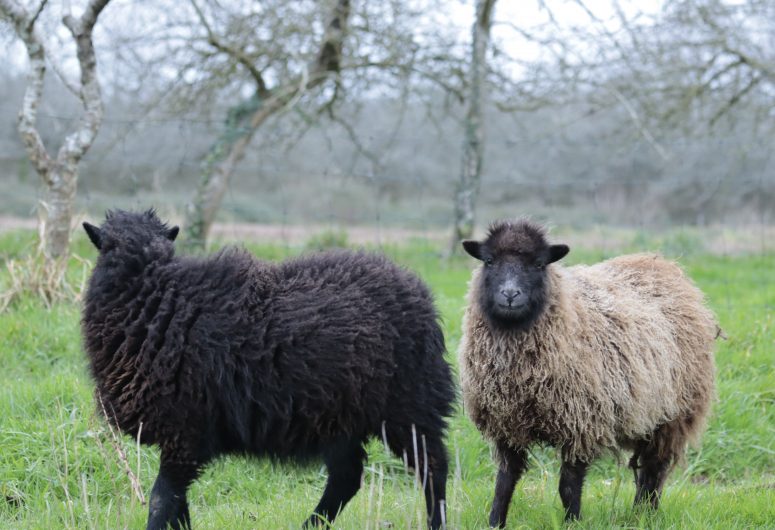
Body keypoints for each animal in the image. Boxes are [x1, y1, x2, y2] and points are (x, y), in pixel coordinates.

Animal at [80, 209, 454, 528]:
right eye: (108, 245)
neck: (155, 295)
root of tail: (419, 292)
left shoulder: (187, 428)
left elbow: (162, 499)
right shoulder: (181, 435)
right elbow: (178, 505)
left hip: (410, 405)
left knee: (433, 467)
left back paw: (435, 523)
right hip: (341, 416)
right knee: (346, 478)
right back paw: (310, 526)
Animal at [458, 219, 720, 524]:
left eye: (538, 263)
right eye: (489, 261)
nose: (510, 294)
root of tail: (664, 266)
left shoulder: (582, 423)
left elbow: (568, 486)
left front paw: (572, 522)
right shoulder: (507, 426)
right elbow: (504, 482)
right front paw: (495, 522)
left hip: (673, 416)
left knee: (654, 470)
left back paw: (644, 515)